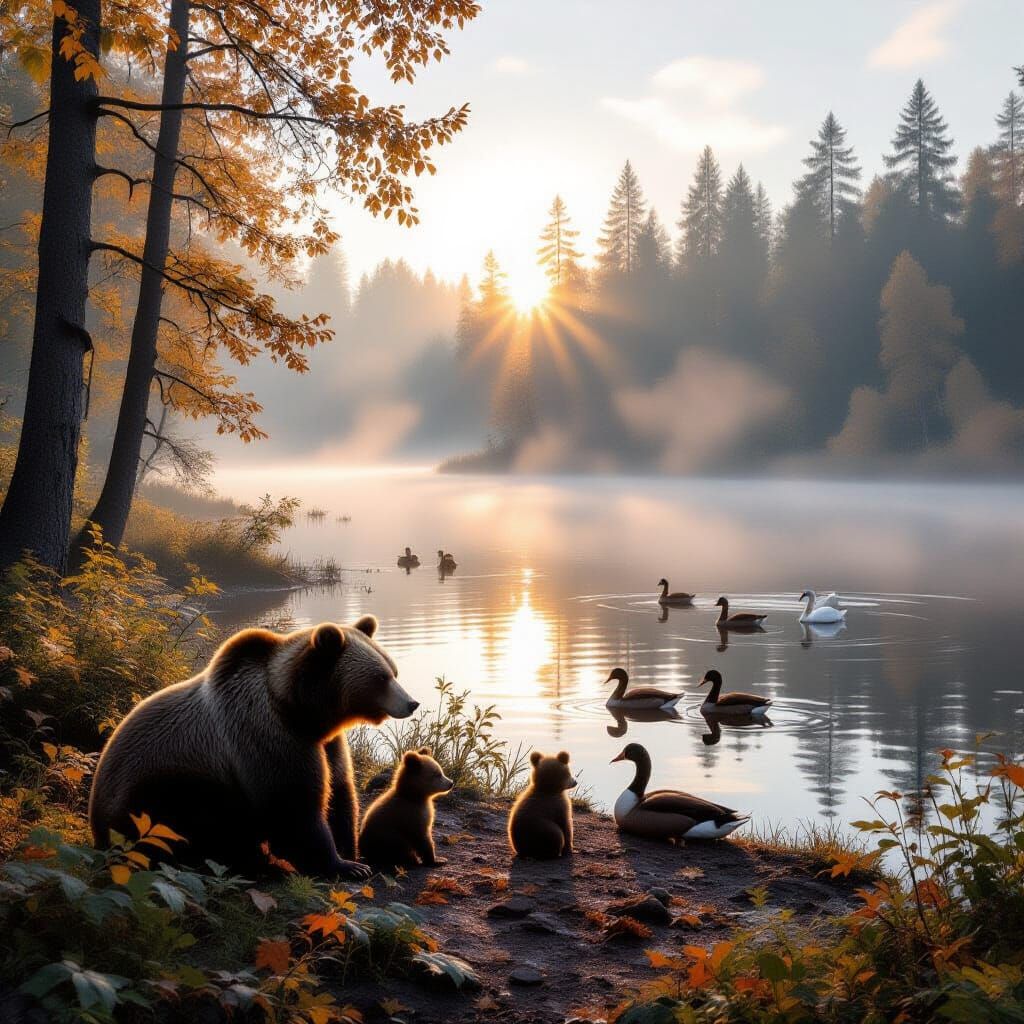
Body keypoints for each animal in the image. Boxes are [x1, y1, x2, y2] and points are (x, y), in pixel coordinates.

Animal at [88, 616, 417, 879]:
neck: (300, 711)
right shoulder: (266, 734)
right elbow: (294, 805)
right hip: (161, 786)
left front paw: (350, 852)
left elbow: (339, 790)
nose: (411, 702)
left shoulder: (326, 743)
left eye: (394, 671)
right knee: (194, 824)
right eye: (381, 677)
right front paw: (344, 865)